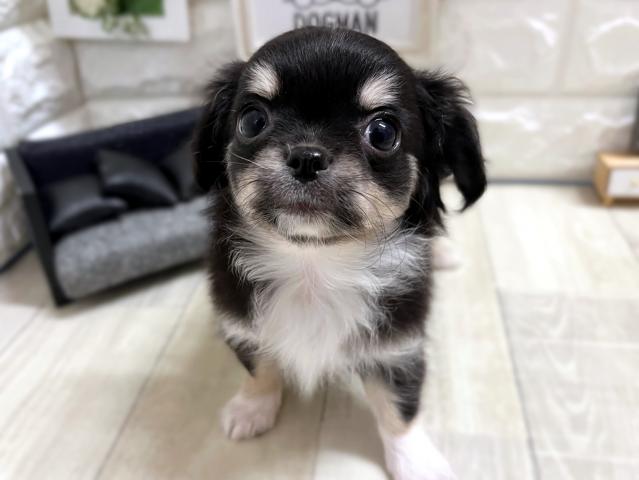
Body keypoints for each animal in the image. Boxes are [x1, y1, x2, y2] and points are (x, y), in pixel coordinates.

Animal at [193, 27, 486, 480]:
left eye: (382, 132)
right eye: (252, 120)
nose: (306, 155)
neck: (314, 266)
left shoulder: (398, 345)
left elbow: (399, 408)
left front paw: (415, 460)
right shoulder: (243, 326)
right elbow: (260, 368)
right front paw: (251, 408)